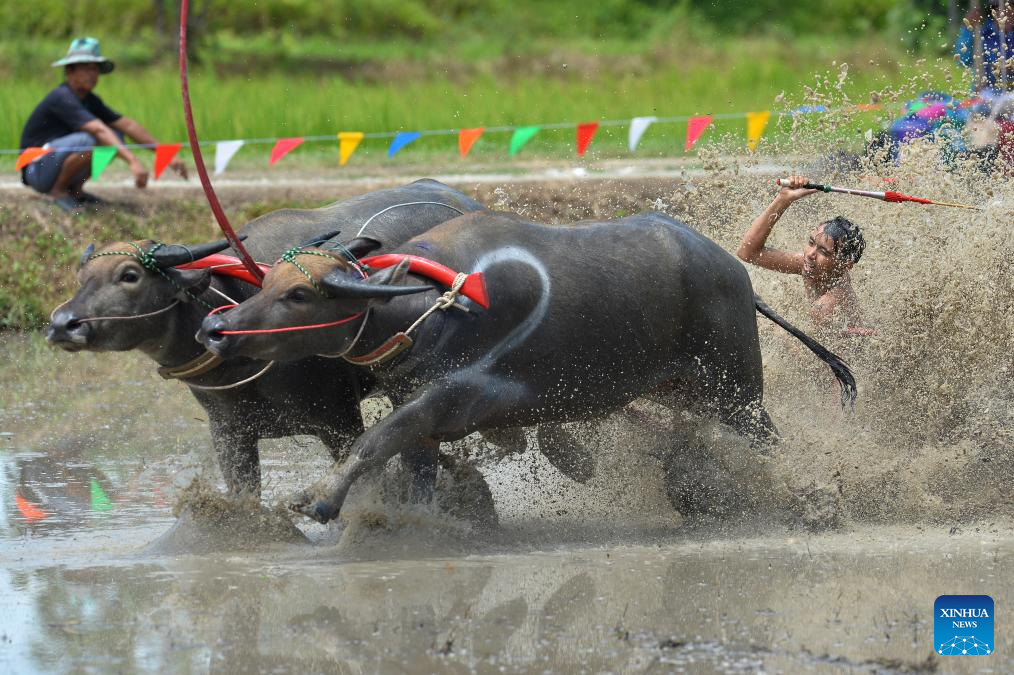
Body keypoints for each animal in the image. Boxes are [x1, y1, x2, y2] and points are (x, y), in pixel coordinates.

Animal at [197, 207, 855, 522]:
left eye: (299, 295)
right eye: (266, 283)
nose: (215, 328)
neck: (429, 303)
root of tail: (737, 275)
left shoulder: (458, 396)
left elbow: (373, 440)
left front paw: (319, 501)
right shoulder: (425, 416)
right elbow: (410, 463)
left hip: (735, 389)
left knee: (767, 440)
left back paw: (813, 496)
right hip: (680, 389)